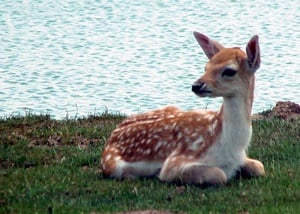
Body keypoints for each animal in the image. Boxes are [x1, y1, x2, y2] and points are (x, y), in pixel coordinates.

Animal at [101, 31, 264, 186]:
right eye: (206, 67)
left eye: (230, 71)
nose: (196, 85)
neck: (230, 147)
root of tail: (111, 137)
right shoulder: (174, 162)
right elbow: (219, 175)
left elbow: (259, 167)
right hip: (113, 165)